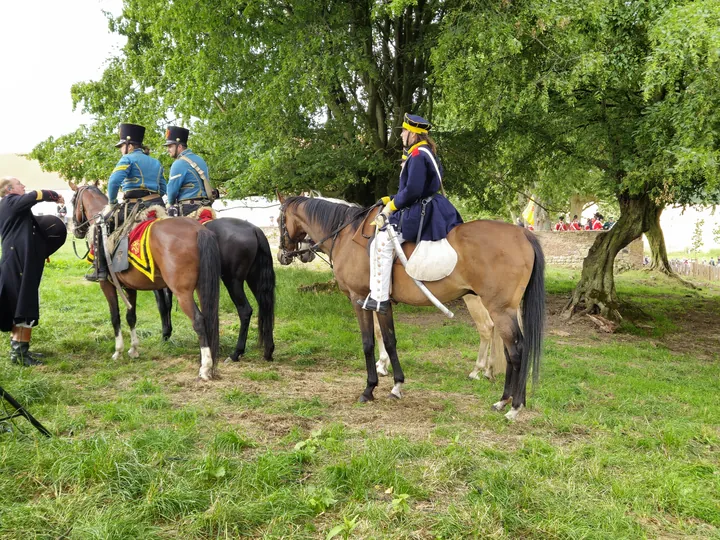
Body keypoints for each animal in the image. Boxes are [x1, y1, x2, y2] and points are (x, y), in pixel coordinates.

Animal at [71, 184, 222, 382]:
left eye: (72, 201)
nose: (75, 229)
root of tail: (199, 230)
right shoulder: (129, 287)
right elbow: (131, 316)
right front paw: (134, 349)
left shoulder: (108, 285)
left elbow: (115, 316)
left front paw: (118, 351)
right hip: (202, 288)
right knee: (210, 317)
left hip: (183, 293)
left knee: (198, 320)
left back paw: (205, 367)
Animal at [153, 216, 276, 362]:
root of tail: (254, 229)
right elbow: (168, 305)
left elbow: (162, 307)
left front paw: (165, 336)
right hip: (254, 279)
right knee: (266, 307)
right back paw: (268, 351)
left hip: (232, 281)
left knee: (245, 311)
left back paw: (236, 353)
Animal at [278, 196, 544, 420]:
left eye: (279, 219)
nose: (282, 255)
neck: (347, 234)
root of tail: (522, 234)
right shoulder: (382, 304)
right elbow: (389, 340)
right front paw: (396, 385)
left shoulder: (359, 300)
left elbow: (368, 342)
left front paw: (369, 388)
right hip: (503, 310)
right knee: (509, 351)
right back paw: (503, 400)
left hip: (498, 310)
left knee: (517, 351)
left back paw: (513, 407)